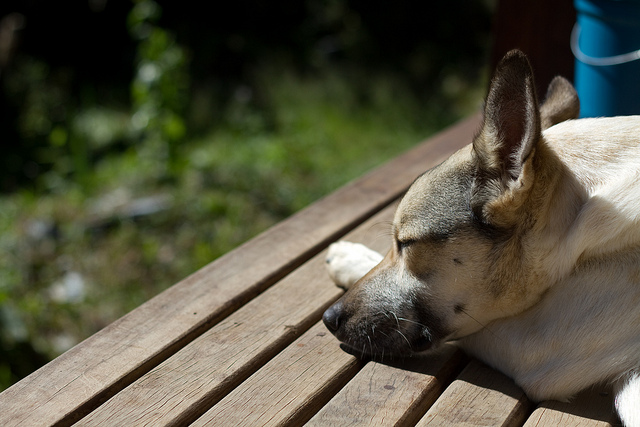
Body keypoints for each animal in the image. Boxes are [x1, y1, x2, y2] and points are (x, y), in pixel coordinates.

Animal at [322, 49, 640, 424]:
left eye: (407, 244)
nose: (327, 318)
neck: (575, 220)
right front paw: (351, 257)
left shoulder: (533, 343)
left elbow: (471, 331)